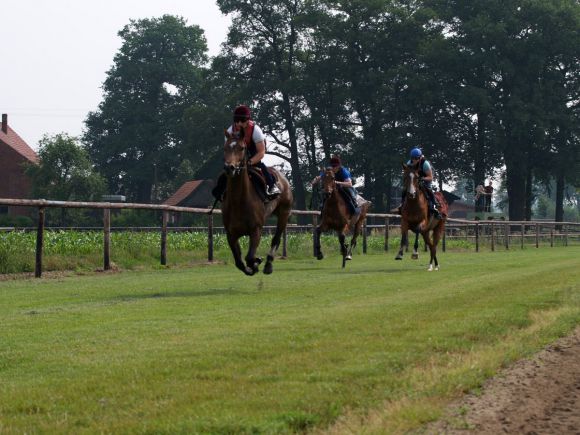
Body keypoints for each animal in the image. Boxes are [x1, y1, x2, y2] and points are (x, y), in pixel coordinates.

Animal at [222, 131, 294, 278]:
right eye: (225, 148)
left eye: (242, 148)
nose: (229, 167)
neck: (238, 201)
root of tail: (283, 178)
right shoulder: (231, 234)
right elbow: (239, 261)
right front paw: (252, 267)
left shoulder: (256, 230)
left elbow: (249, 257)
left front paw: (257, 262)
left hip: (284, 213)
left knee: (276, 239)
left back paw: (268, 265)